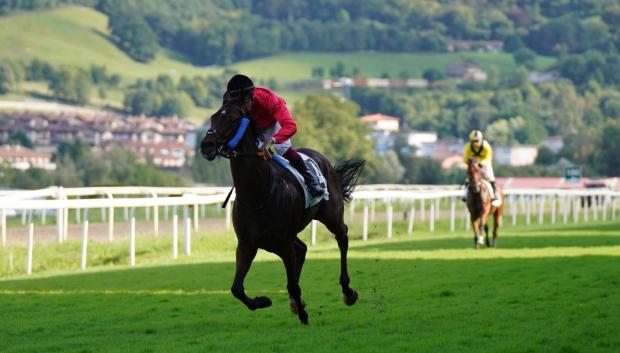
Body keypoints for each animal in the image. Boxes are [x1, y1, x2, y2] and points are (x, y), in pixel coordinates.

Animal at [200, 102, 364, 324]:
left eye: (233, 119)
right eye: (213, 117)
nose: (206, 145)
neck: (258, 194)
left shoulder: (283, 243)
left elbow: (292, 284)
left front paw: (303, 315)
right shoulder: (247, 244)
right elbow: (236, 288)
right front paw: (262, 301)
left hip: (331, 216)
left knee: (342, 237)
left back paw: (347, 292)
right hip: (280, 240)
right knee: (302, 249)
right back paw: (296, 302)